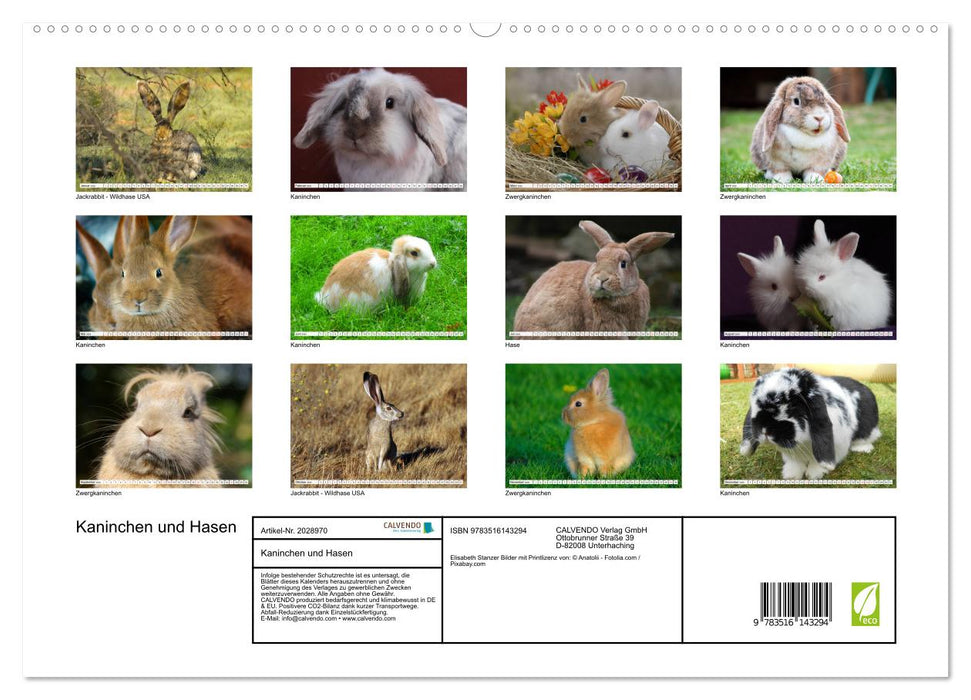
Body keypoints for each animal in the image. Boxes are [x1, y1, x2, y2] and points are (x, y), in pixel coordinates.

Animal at [740, 368, 880, 480]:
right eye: (754, 404)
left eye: (792, 406)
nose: (765, 430)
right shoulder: (792, 454)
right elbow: (795, 462)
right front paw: (791, 476)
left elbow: (817, 462)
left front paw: (814, 474)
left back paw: (863, 448)